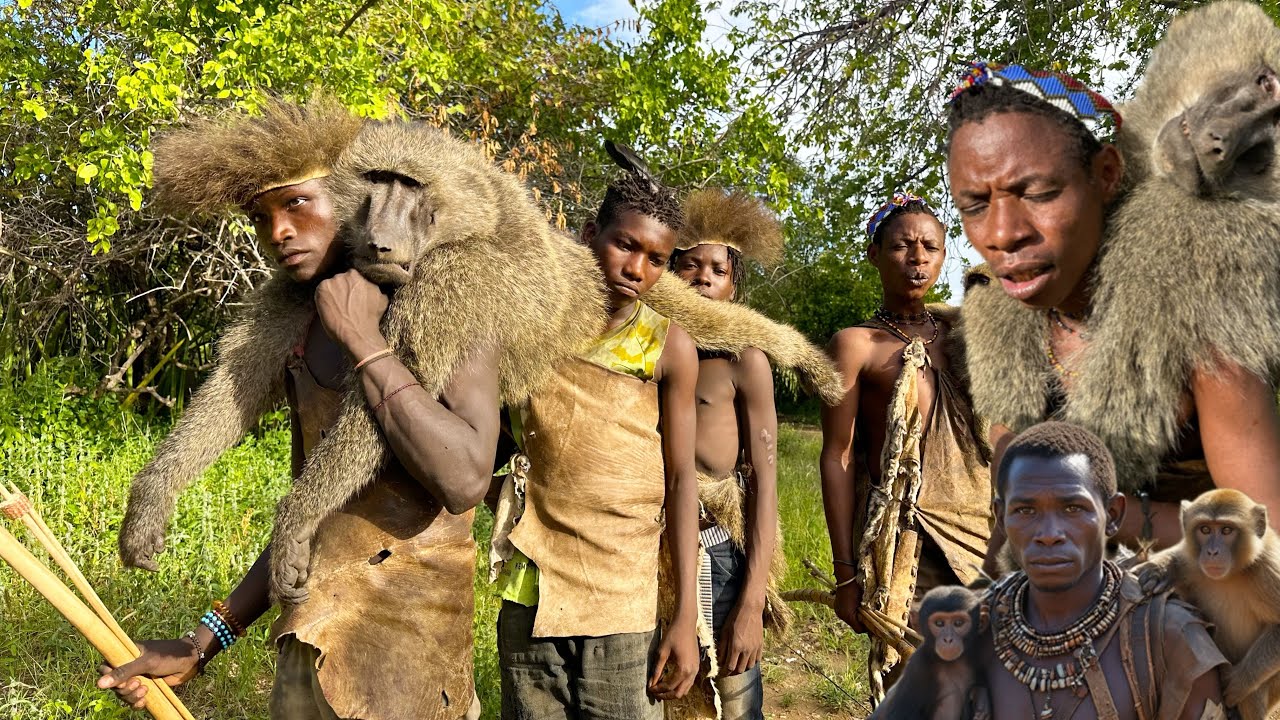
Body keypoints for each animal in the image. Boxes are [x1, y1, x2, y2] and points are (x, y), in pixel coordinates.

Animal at [1136, 489, 1280, 720]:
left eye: (1227, 530)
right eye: (1205, 529)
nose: (1212, 552)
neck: (1233, 573)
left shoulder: (1268, 571)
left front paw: (1236, 681)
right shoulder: (1193, 561)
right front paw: (1160, 570)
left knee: (1254, 694)